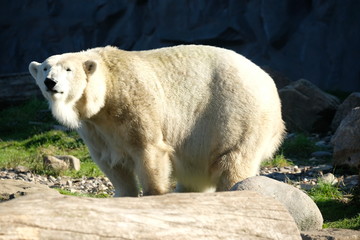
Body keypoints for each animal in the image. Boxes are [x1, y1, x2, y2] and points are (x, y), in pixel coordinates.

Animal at [28, 45, 284, 197]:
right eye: (45, 68)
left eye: (68, 69)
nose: (50, 82)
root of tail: (269, 83)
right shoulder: (96, 128)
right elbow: (111, 163)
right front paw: (123, 194)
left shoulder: (135, 103)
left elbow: (148, 149)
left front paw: (154, 195)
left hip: (237, 116)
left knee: (234, 162)